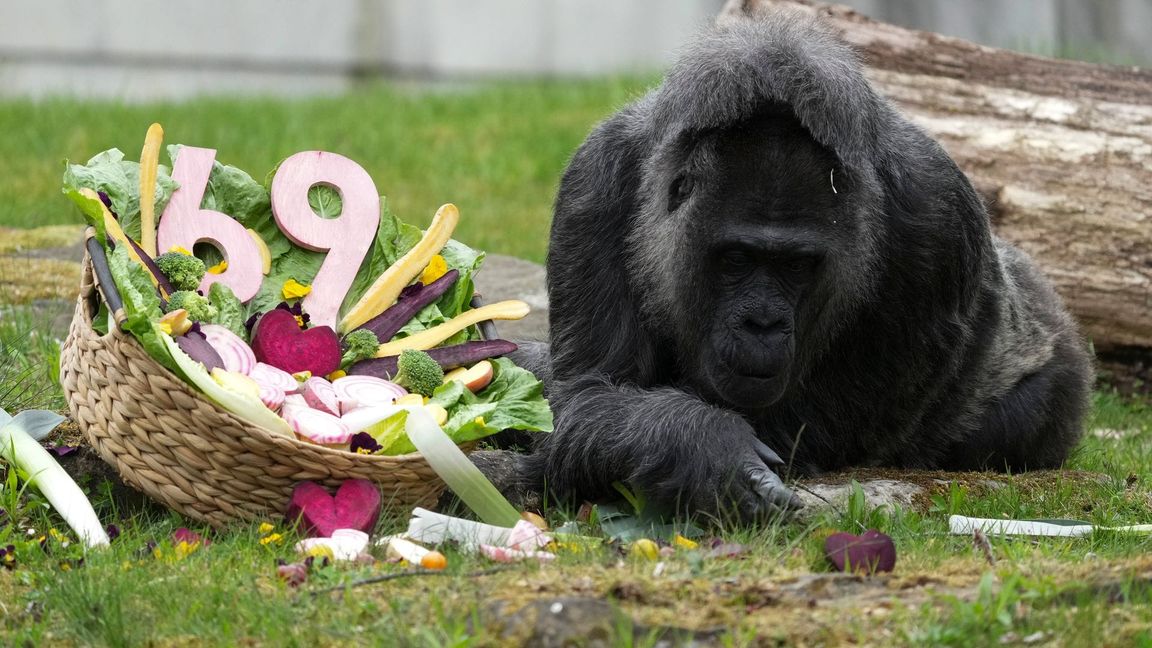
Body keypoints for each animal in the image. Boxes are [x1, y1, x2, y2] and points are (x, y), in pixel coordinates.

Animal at [516, 11, 1094, 522]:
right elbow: (591, 395)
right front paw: (698, 447)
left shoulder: (938, 215)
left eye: (796, 266)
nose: (762, 323)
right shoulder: (596, 181)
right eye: (736, 259)